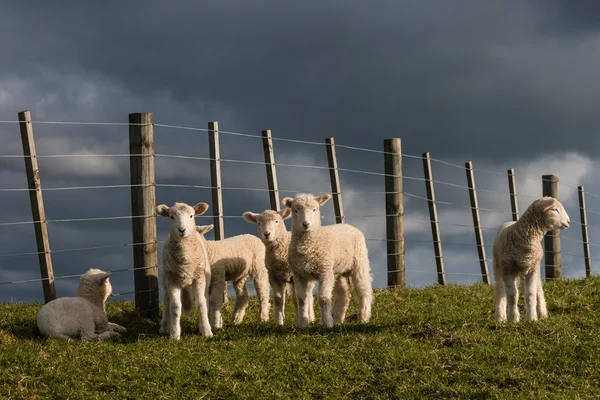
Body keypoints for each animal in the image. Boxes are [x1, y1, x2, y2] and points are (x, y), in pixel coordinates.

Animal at [157, 202, 213, 340]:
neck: (185, 262)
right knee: (167, 302)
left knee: (205, 299)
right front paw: (174, 334)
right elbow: (175, 307)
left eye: (191, 215)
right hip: (165, 281)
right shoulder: (172, 279)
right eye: (171, 217)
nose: (182, 230)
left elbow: (201, 304)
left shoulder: (199, 278)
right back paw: (165, 327)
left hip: (205, 280)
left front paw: (206, 331)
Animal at [282, 193, 370, 328]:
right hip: (336, 270)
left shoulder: (324, 272)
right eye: (295, 210)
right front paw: (303, 324)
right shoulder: (299, 274)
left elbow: (323, 298)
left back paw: (363, 318)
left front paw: (327, 324)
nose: (305, 224)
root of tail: (348, 225)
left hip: (360, 262)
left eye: (315, 209)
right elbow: (302, 300)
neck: (308, 246)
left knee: (364, 289)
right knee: (344, 292)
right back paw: (338, 318)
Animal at [492, 195, 572, 324]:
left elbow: (530, 294)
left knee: (538, 290)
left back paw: (542, 313)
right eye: (555, 209)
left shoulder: (533, 269)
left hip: (532, 269)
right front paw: (513, 318)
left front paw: (532, 318)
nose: (569, 222)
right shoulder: (508, 271)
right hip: (498, 267)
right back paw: (500, 317)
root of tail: (511, 221)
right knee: (500, 290)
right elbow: (513, 295)